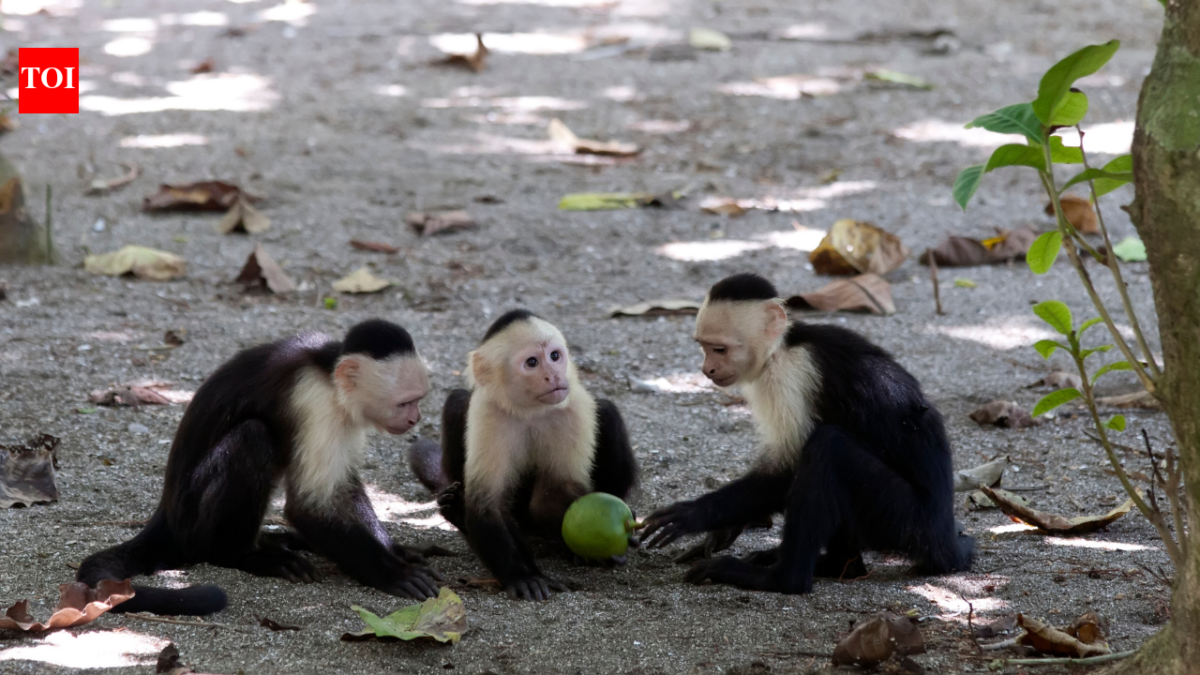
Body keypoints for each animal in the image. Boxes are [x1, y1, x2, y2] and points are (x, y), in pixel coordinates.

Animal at [77, 319, 444, 615]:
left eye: (418, 400)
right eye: (406, 402)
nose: (416, 418)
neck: (327, 372)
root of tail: (165, 515)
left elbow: (341, 489)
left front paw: (395, 550)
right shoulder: (315, 401)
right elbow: (309, 506)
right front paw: (391, 572)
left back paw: (276, 541)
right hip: (191, 522)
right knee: (252, 437)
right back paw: (244, 556)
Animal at [408, 310, 638, 601]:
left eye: (554, 356)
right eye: (532, 363)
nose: (553, 376)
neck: (530, 410)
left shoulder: (572, 411)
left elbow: (553, 497)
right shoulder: (489, 412)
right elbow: (488, 504)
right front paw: (524, 575)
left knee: (607, 411)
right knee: (457, 401)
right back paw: (457, 512)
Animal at [642, 273, 973, 594]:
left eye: (719, 349)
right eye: (704, 346)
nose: (706, 369)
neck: (783, 346)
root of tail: (945, 542)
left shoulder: (790, 375)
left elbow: (785, 471)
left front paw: (693, 515)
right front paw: (724, 529)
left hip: (906, 519)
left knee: (828, 446)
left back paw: (781, 579)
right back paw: (835, 565)